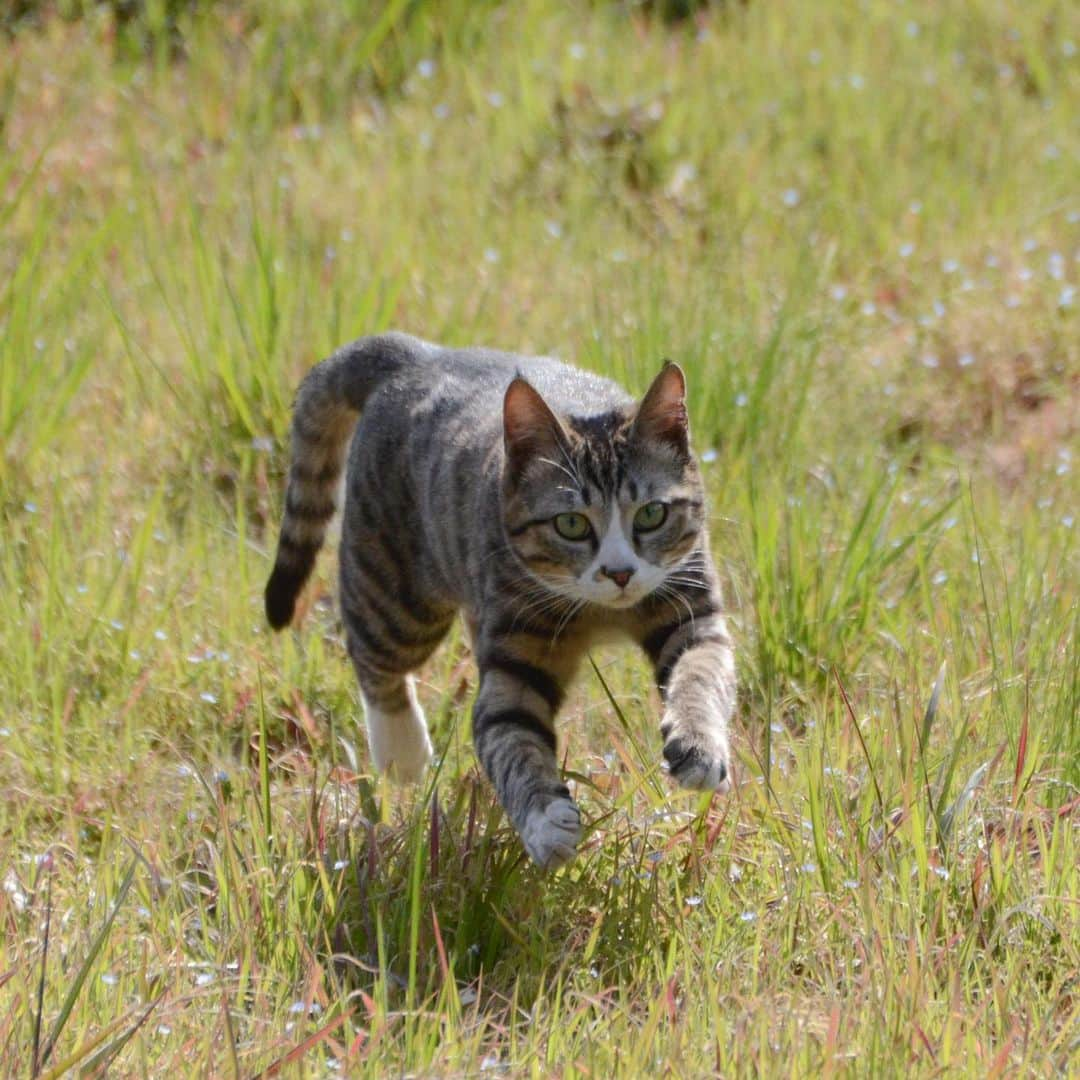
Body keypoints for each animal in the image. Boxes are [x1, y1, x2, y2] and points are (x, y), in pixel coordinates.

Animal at [264, 330, 734, 868]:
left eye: (652, 514)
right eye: (570, 524)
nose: (619, 573)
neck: (599, 612)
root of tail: (416, 354)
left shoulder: (689, 608)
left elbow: (701, 673)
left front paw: (698, 746)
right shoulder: (515, 653)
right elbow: (511, 735)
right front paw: (546, 823)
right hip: (399, 592)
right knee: (372, 654)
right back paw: (402, 752)